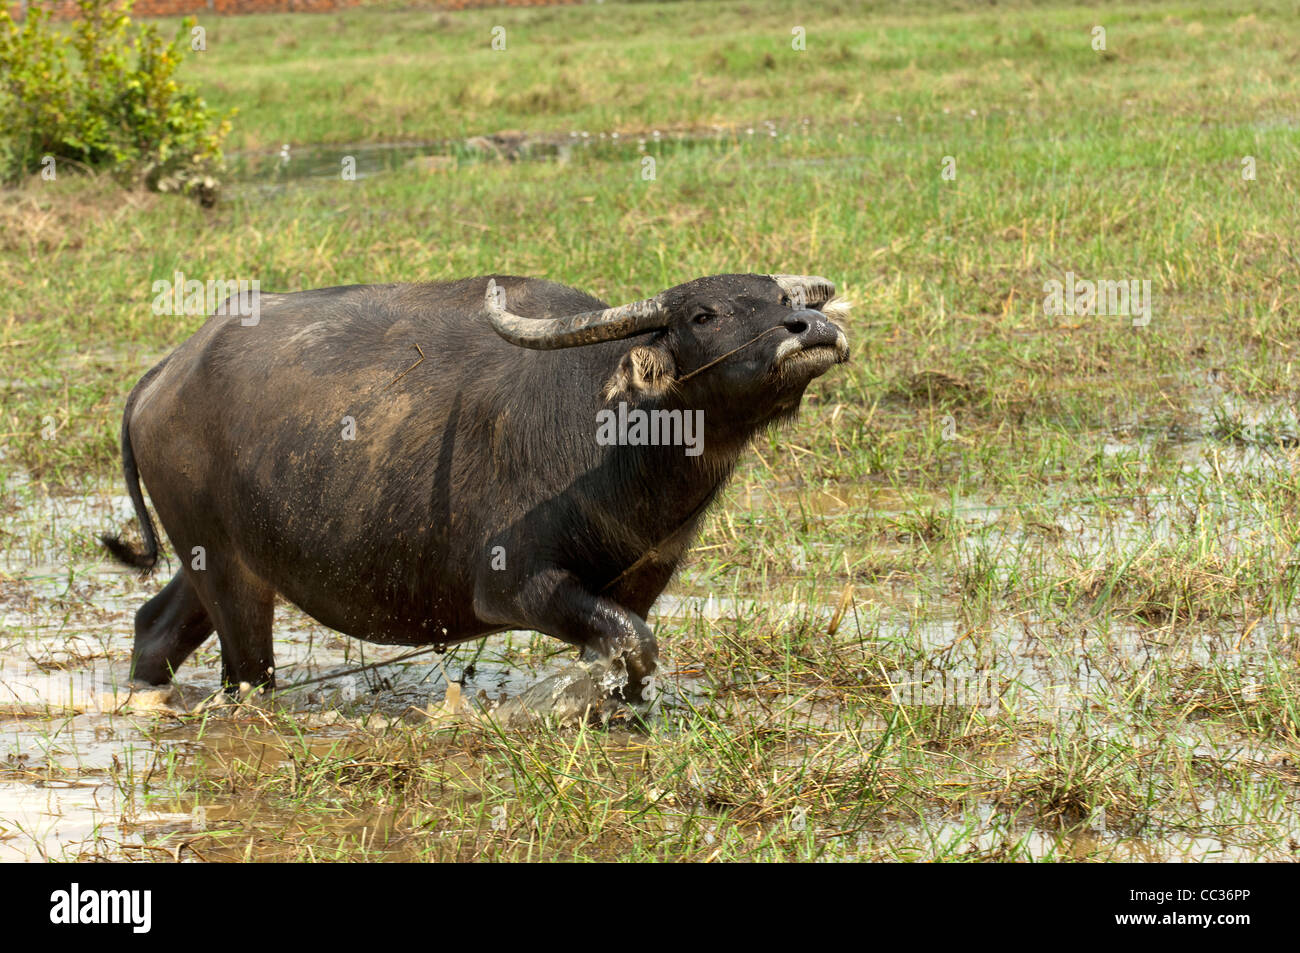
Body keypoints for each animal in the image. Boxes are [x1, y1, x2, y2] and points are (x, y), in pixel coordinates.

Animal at [104, 271, 852, 702]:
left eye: (783, 299)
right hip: (228, 574)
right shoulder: (512, 584)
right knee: (246, 674)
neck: (616, 434)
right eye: (703, 315)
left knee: (156, 628)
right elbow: (634, 644)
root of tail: (166, 372)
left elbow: (630, 654)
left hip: (213, 557)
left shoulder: (638, 581)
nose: (811, 328)